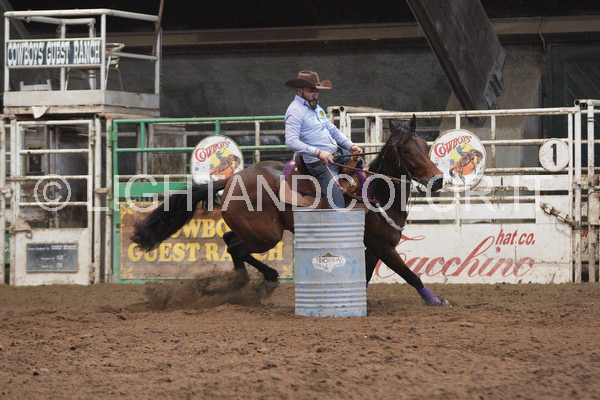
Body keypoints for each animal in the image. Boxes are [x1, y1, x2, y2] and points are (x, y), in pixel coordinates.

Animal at [132, 116, 450, 306]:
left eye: (425, 145)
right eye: (406, 150)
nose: (438, 180)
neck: (375, 192)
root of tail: (232, 178)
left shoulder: (373, 248)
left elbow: (368, 277)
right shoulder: (383, 246)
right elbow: (411, 275)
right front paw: (436, 301)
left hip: (254, 231)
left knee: (228, 240)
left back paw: (242, 285)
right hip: (266, 235)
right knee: (235, 247)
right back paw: (259, 282)